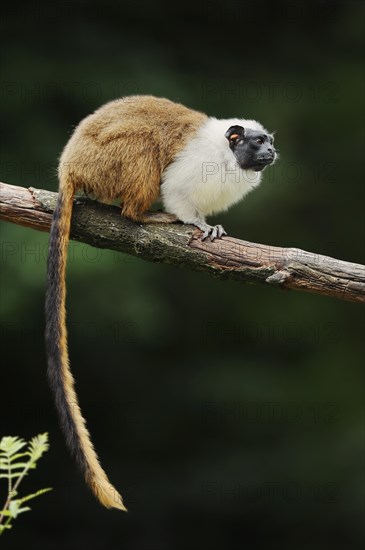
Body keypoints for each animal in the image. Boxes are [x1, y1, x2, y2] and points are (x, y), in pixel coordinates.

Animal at [47, 95, 276, 512]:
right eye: (257, 143)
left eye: (269, 142)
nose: (271, 152)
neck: (227, 155)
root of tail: (69, 167)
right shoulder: (197, 165)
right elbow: (175, 188)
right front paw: (196, 223)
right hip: (107, 161)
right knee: (144, 151)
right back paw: (143, 214)